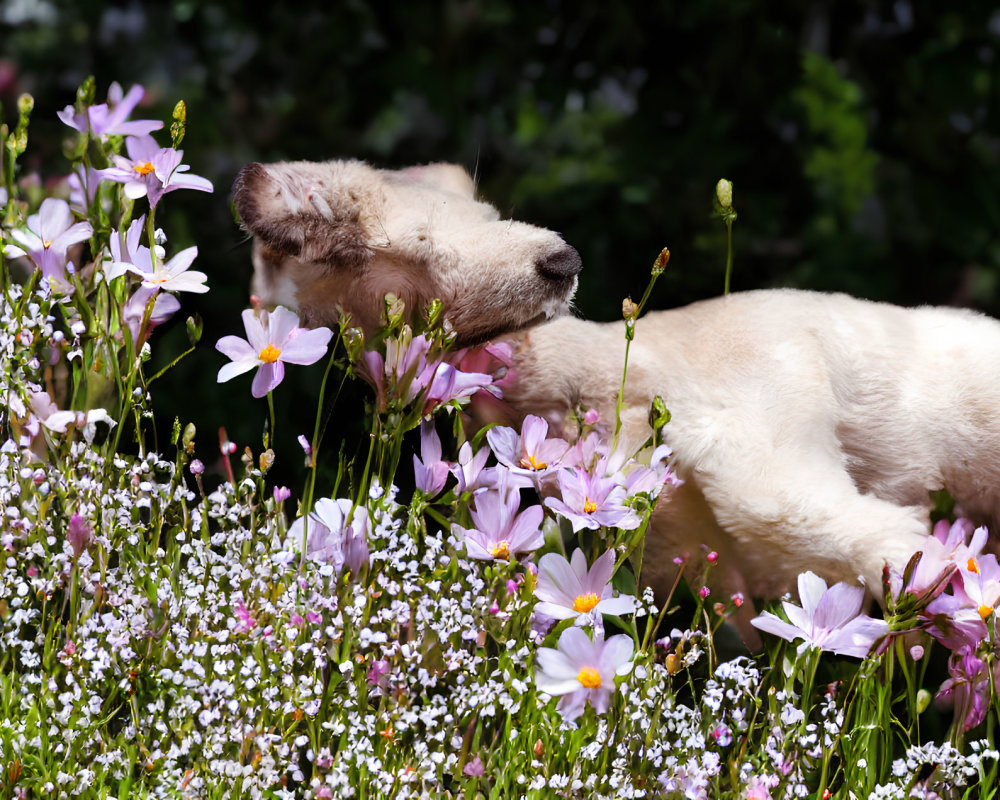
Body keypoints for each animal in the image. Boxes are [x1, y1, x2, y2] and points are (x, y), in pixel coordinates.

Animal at [230, 158, 996, 612]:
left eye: (488, 216)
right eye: (415, 248)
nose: (561, 260)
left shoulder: (766, 432)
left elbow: (835, 522)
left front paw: (935, 578)